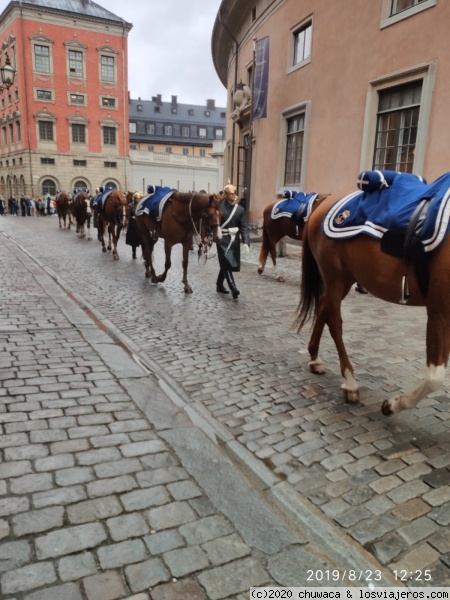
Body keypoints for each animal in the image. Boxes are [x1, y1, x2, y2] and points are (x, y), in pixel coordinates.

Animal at [296, 189, 450, 418]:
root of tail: (325, 200)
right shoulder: (439, 310)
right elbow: (435, 377)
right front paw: (392, 405)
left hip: (344, 279)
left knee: (323, 309)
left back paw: (315, 359)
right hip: (334, 277)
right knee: (335, 324)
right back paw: (350, 382)